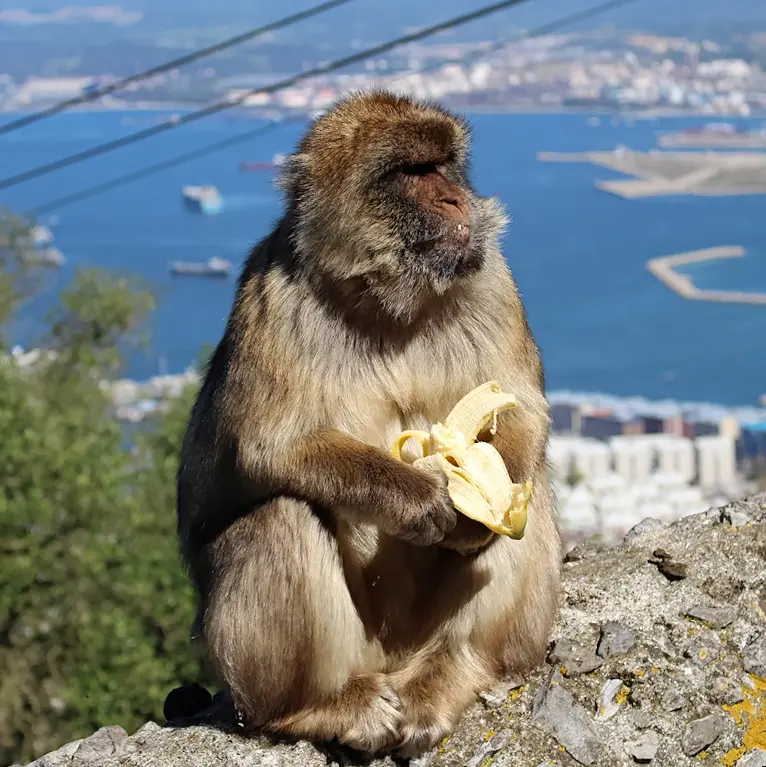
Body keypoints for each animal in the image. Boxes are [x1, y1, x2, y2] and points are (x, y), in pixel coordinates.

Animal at [180, 88, 564, 756]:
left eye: (444, 165)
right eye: (411, 172)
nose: (455, 198)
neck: (387, 300)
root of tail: (396, 660)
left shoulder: (491, 275)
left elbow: (520, 404)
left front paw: (478, 508)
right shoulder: (270, 295)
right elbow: (272, 446)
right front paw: (419, 498)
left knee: (528, 492)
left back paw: (451, 671)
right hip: (345, 654)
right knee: (279, 516)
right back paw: (316, 708)